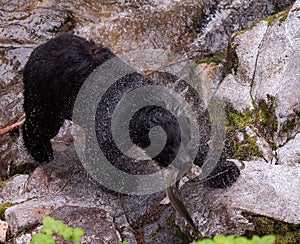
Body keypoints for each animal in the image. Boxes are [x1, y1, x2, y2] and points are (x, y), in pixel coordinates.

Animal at [22, 33, 240, 188]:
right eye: (168, 149)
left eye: (183, 142)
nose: (184, 164)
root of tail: (40, 47)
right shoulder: (106, 129)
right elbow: (99, 159)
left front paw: (226, 171)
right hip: (45, 96)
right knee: (37, 124)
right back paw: (41, 151)